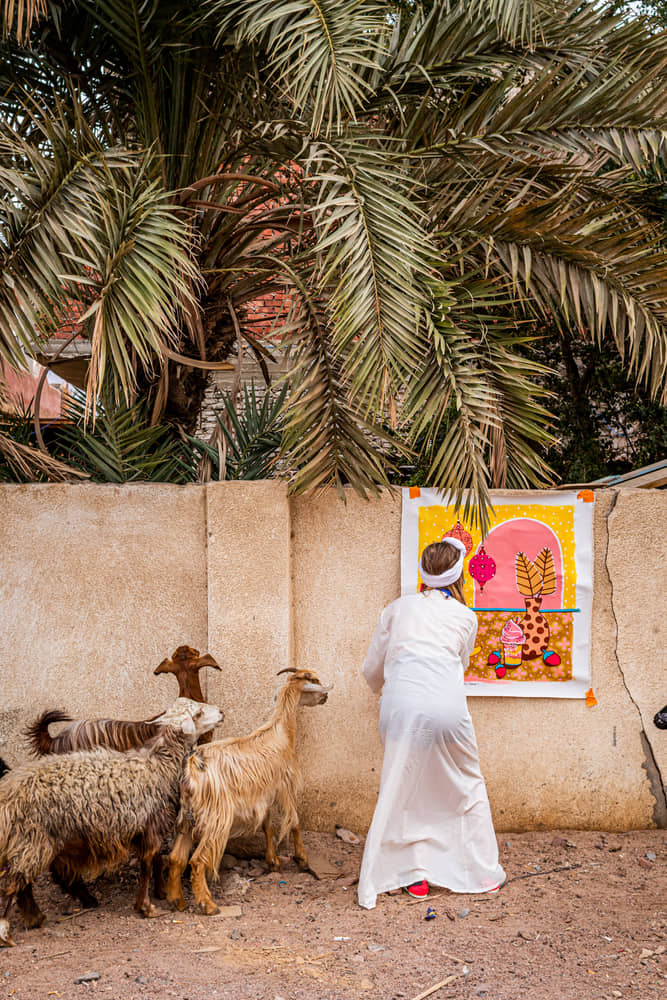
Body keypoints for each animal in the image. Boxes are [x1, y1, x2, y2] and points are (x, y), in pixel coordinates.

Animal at [0, 700, 224, 948]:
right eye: (198, 713)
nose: (221, 712)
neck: (159, 764)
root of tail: (8, 793)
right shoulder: (151, 828)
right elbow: (147, 867)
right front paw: (146, 908)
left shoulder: (145, 830)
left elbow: (152, 864)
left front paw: (155, 896)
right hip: (31, 839)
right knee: (12, 884)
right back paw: (7, 932)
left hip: (34, 841)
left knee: (24, 884)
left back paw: (36, 918)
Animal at [168, 668, 330, 916]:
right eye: (314, 681)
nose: (325, 697)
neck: (280, 731)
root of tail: (192, 765)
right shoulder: (285, 786)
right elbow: (293, 821)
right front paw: (302, 859)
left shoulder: (263, 796)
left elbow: (267, 826)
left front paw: (272, 861)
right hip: (217, 818)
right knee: (196, 861)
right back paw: (208, 904)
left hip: (187, 817)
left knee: (176, 858)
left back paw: (177, 901)